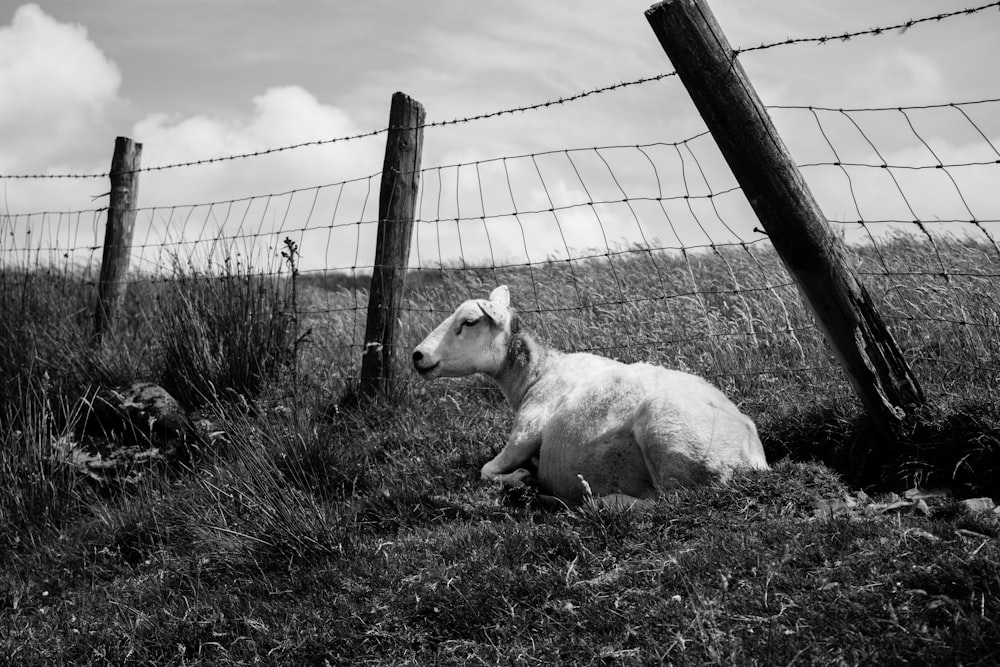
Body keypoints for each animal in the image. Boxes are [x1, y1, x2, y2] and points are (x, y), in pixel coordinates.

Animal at [410, 284, 768, 506]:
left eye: (469, 322)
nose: (416, 355)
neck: (537, 374)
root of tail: (752, 455)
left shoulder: (526, 431)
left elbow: (485, 470)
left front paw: (522, 478)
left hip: (669, 440)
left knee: (669, 500)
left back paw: (595, 503)